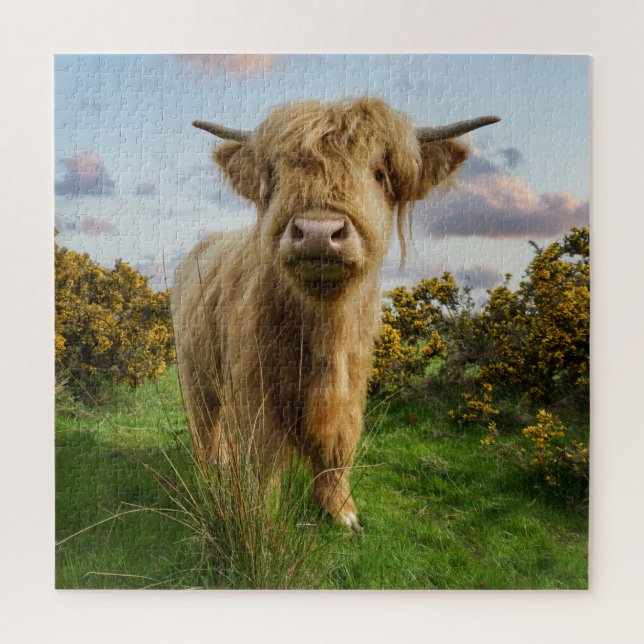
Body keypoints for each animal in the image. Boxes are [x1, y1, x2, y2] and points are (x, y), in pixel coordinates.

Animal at [171, 98, 499, 530]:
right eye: (274, 176)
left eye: (379, 173)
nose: (317, 231)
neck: (323, 330)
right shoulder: (254, 385)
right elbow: (264, 456)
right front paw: (261, 516)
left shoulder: (353, 381)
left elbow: (339, 448)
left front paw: (341, 511)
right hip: (194, 367)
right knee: (206, 418)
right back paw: (212, 464)